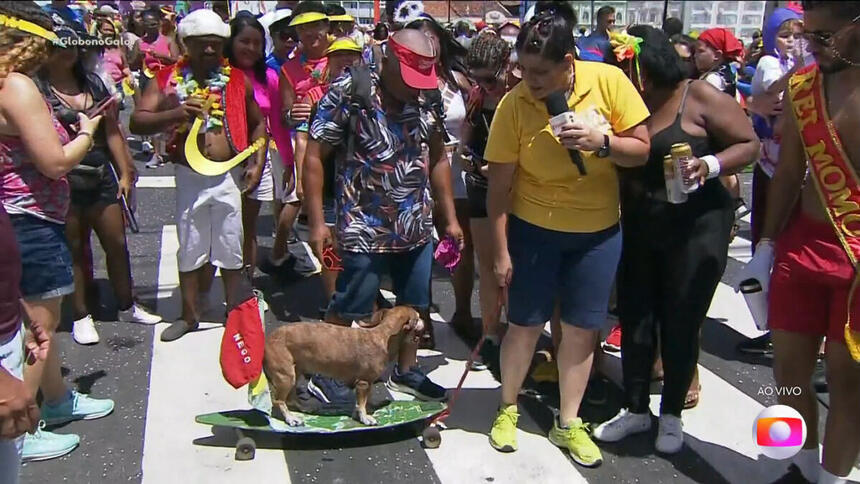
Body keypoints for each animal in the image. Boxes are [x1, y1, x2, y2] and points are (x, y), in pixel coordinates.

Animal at [262, 308, 424, 426]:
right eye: (418, 316)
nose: (424, 321)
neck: (384, 336)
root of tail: (267, 340)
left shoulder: (366, 384)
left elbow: (363, 402)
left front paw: (367, 409)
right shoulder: (364, 382)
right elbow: (361, 404)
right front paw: (365, 417)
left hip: (296, 372)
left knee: (290, 397)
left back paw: (303, 408)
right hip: (286, 376)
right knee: (279, 401)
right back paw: (290, 418)